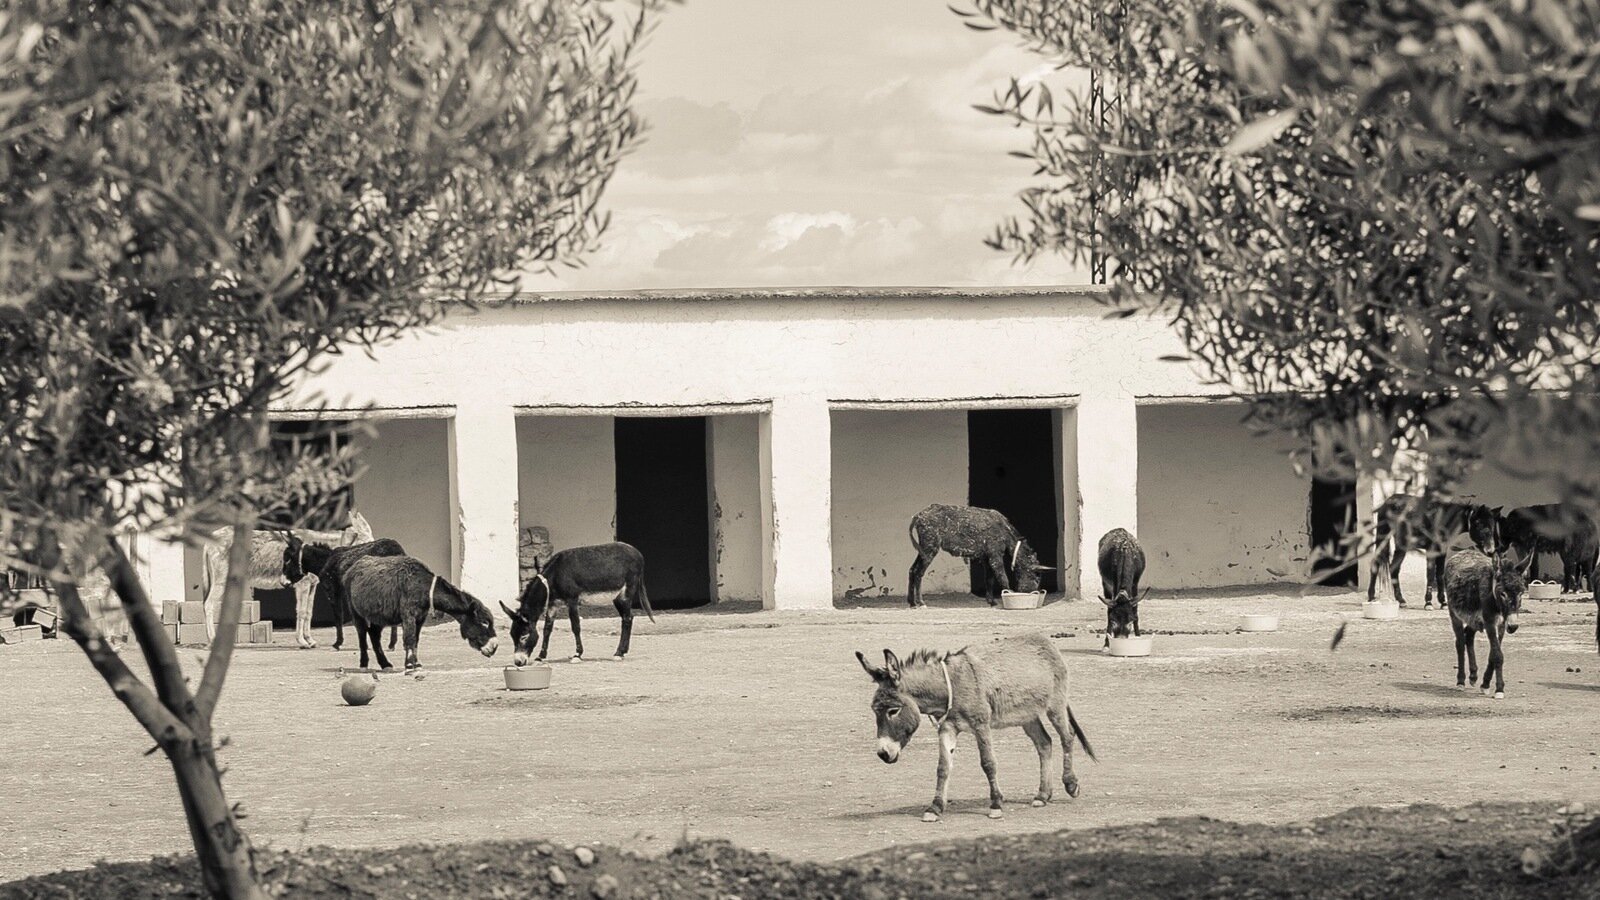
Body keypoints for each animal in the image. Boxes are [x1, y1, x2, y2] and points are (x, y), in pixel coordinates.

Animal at [857, 633, 1095, 822]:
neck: (951, 685)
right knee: (1045, 743)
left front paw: (996, 805)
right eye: (874, 711)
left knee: (1067, 737)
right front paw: (935, 808)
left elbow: (988, 763)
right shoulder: (947, 728)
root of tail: (1045, 641)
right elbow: (942, 768)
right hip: (1027, 715)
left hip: (1055, 705)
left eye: (893, 711)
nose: (883, 754)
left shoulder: (981, 725)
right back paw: (1042, 795)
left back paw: (1071, 784)